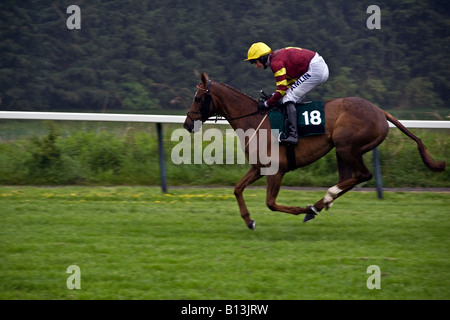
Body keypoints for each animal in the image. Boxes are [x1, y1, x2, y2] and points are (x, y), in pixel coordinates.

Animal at [184, 72, 446, 230]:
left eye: (197, 98)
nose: (187, 124)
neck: (255, 119)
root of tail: (381, 111)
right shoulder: (259, 168)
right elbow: (237, 189)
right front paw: (249, 221)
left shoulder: (276, 170)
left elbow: (271, 203)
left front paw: (304, 208)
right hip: (342, 150)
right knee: (348, 177)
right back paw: (322, 204)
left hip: (347, 145)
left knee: (362, 175)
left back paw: (322, 201)